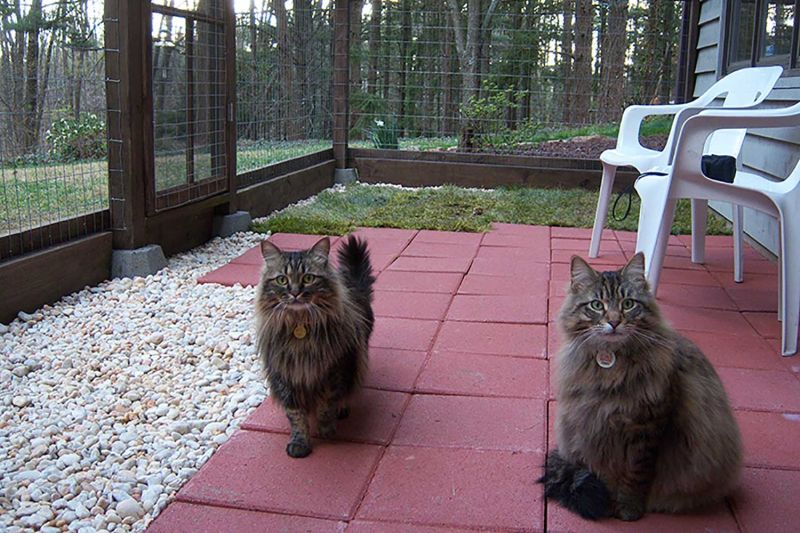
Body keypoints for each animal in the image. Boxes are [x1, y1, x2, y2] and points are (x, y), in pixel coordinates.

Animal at [256, 237, 376, 458]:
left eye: (309, 278)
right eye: (282, 280)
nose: (295, 292)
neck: (299, 325)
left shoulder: (334, 370)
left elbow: (326, 405)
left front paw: (326, 430)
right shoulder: (286, 376)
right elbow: (296, 416)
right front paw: (300, 442)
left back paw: (342, 409)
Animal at [544, 252, 744, 520]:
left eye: (628, 304)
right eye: (597, 305)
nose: (614, 322)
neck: (611, 367)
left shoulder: (648, 427)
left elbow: (636, 475)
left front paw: (628, 508)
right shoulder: (596, 427)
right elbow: (605, 473)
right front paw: (607, 502)